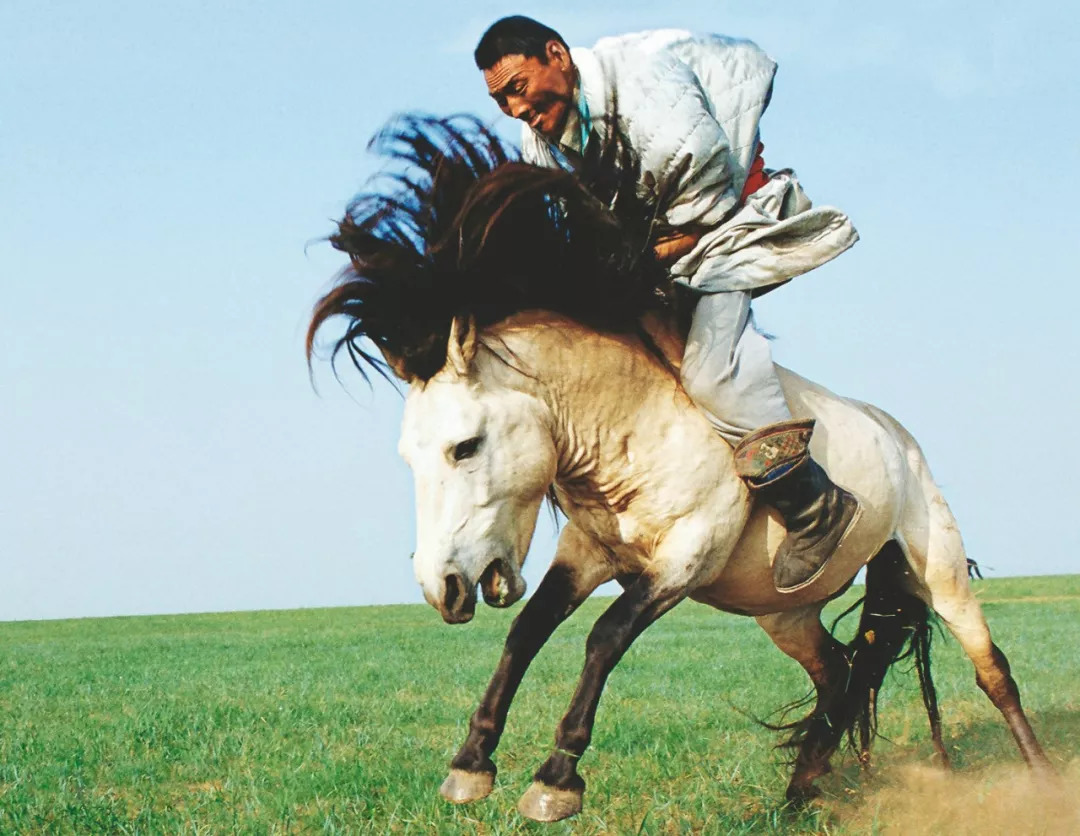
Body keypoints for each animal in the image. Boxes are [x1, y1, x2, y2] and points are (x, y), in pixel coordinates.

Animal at [308, 115, 1051, 822]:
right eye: (409, 456)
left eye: (465, 445)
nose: (443, 587)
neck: (632, 423)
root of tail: (897, 437)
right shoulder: (588, 553)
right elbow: (527, 631)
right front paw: (472, 763)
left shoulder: (687, 555)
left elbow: (604, 636)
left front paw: (555, 780)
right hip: (784, 613)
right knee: (839, 674)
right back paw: (797, 794)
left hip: (937, 566)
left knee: (993, 672)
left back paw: (1041, 778)